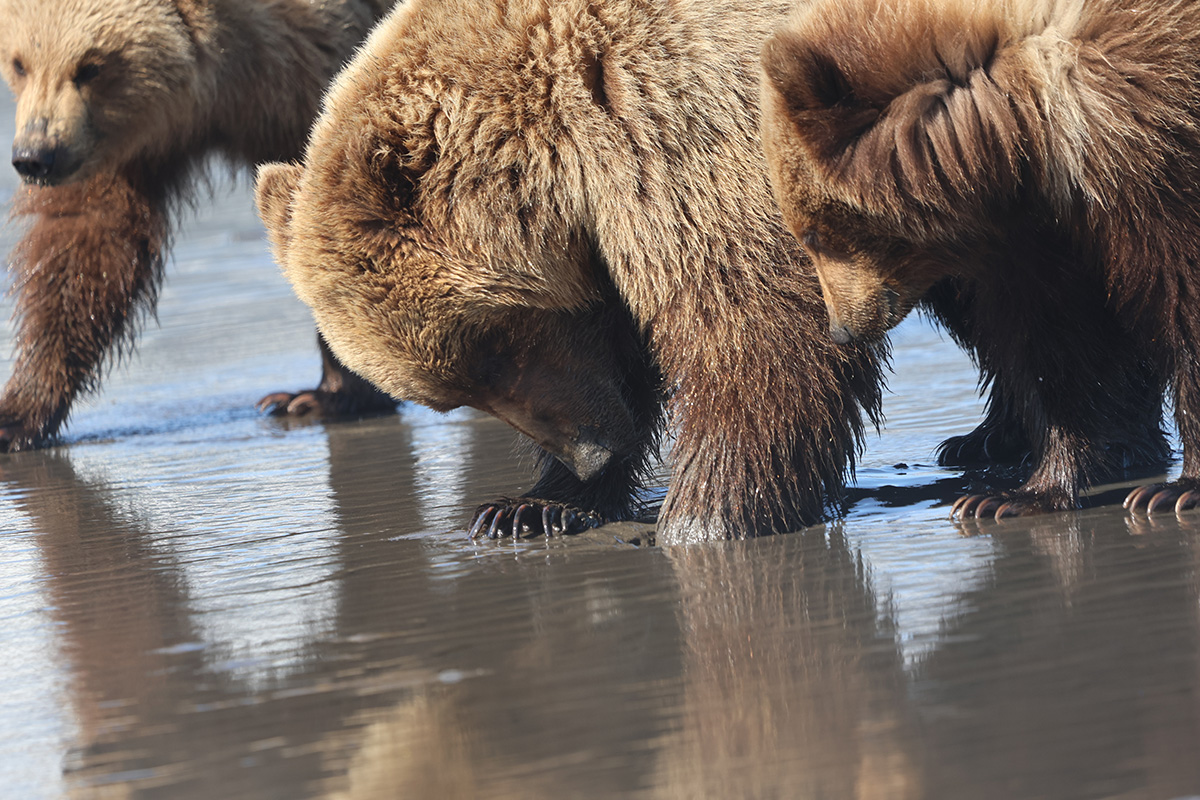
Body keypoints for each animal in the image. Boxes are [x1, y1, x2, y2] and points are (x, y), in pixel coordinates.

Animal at [0, 0, 400, 452]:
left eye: (91, 67)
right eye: (19, 63)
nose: (34, 156)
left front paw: (332, 391)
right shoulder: (120, 149)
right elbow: (85, 243)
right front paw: (17, 414)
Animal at [254, 0, 888, 545]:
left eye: (493, 344)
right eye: (457, 393)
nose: (591, 455)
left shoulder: (690, 130)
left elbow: (758, 330)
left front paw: (703, 517)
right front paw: (532, 506)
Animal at [759, 0, 1200, 519]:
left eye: (813, 233)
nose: (841, 330)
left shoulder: (1156, 171)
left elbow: (1182, 299)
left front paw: (1174, 489)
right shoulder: (1041, 234)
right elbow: (1059, 340)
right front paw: (1019, 493)